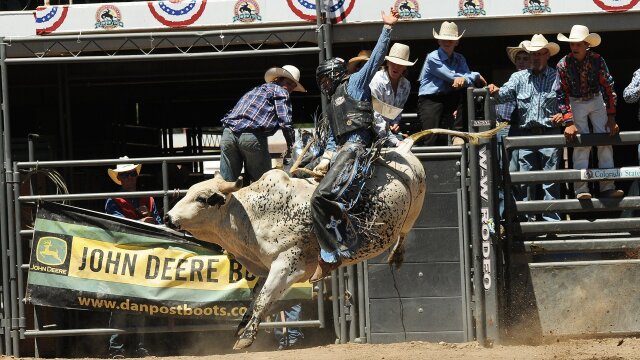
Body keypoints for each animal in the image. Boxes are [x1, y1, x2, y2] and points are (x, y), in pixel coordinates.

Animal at [164, 127, 500, 348]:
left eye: (205, 198)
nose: (167, 217)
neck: (253, 215)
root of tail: (403, 149)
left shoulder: (289, 263)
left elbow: (263, 298)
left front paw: (246, 338)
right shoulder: (274, 268)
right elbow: (260, 298)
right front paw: (245, 327)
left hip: (416, 200)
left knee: (404, 230)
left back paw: (397, 255)